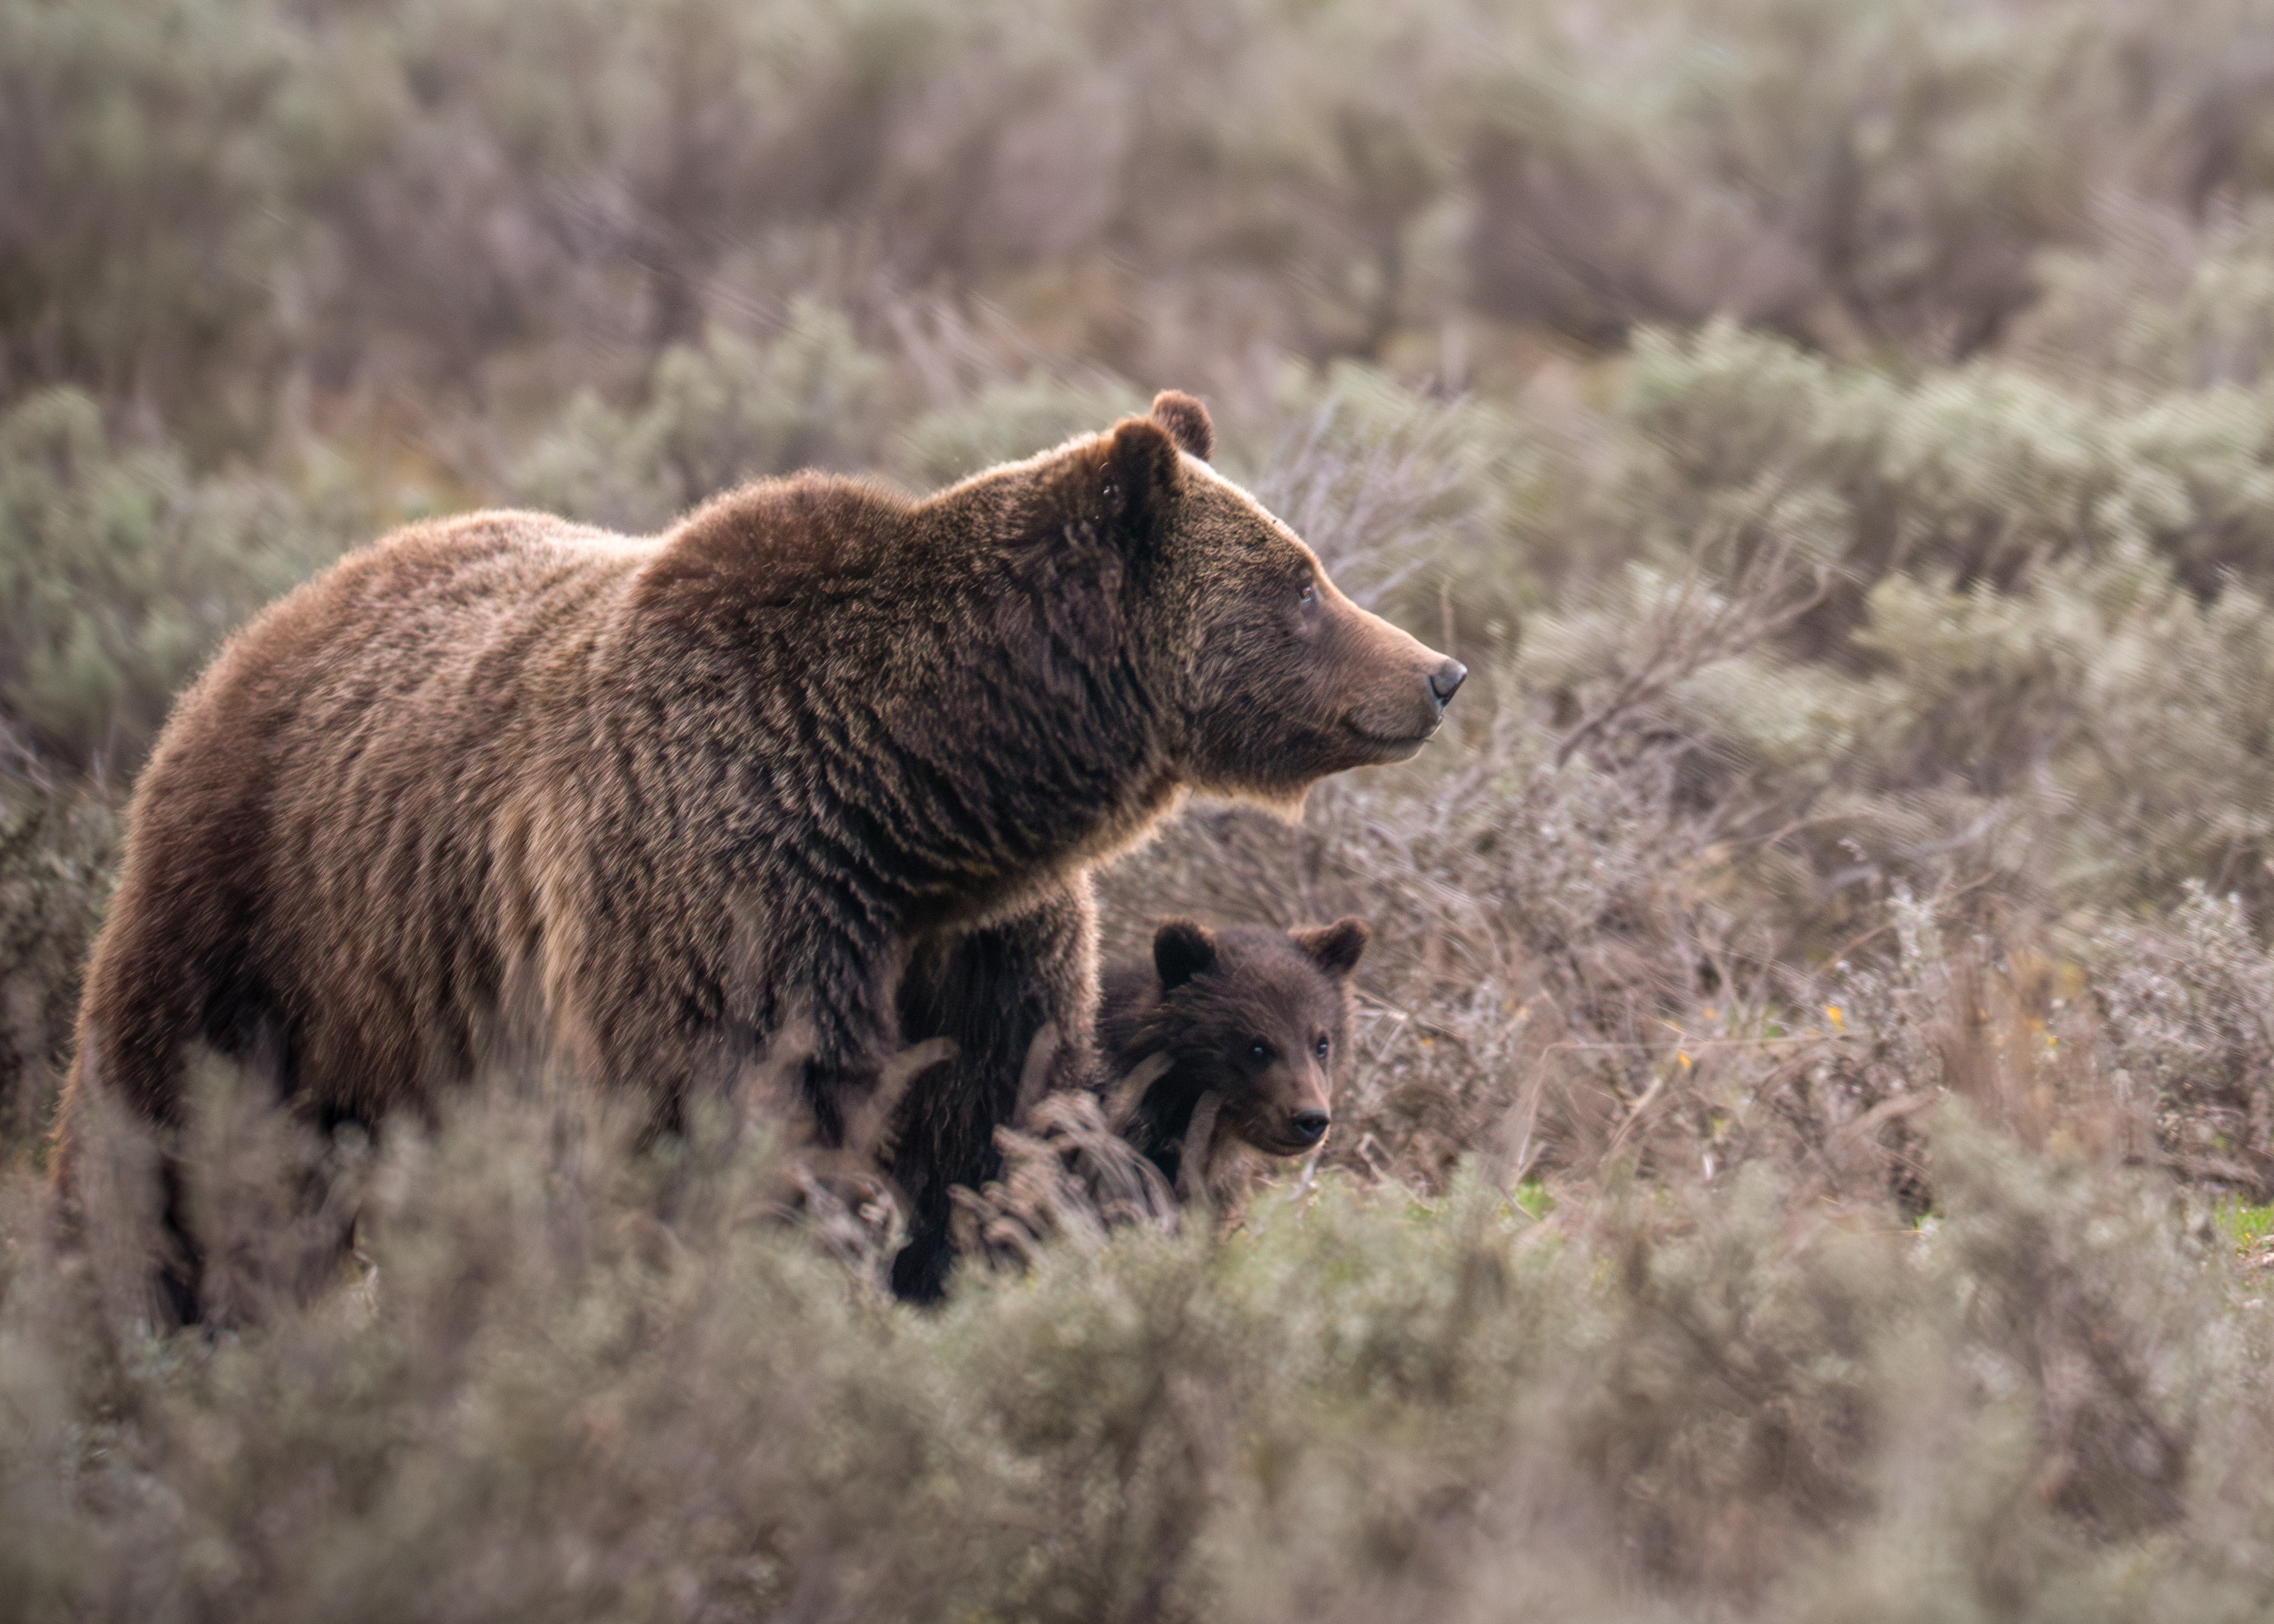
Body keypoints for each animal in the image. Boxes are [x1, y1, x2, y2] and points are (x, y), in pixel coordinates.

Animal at [62, 389, 1464, 1301]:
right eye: (1300, 581)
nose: (1438, 672)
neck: (920, 799)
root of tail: (276, 618)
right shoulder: (730, 890)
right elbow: (734, 1126)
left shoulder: (980, 947)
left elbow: (979, 1142)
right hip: (268, 919)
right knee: (170, 1139)